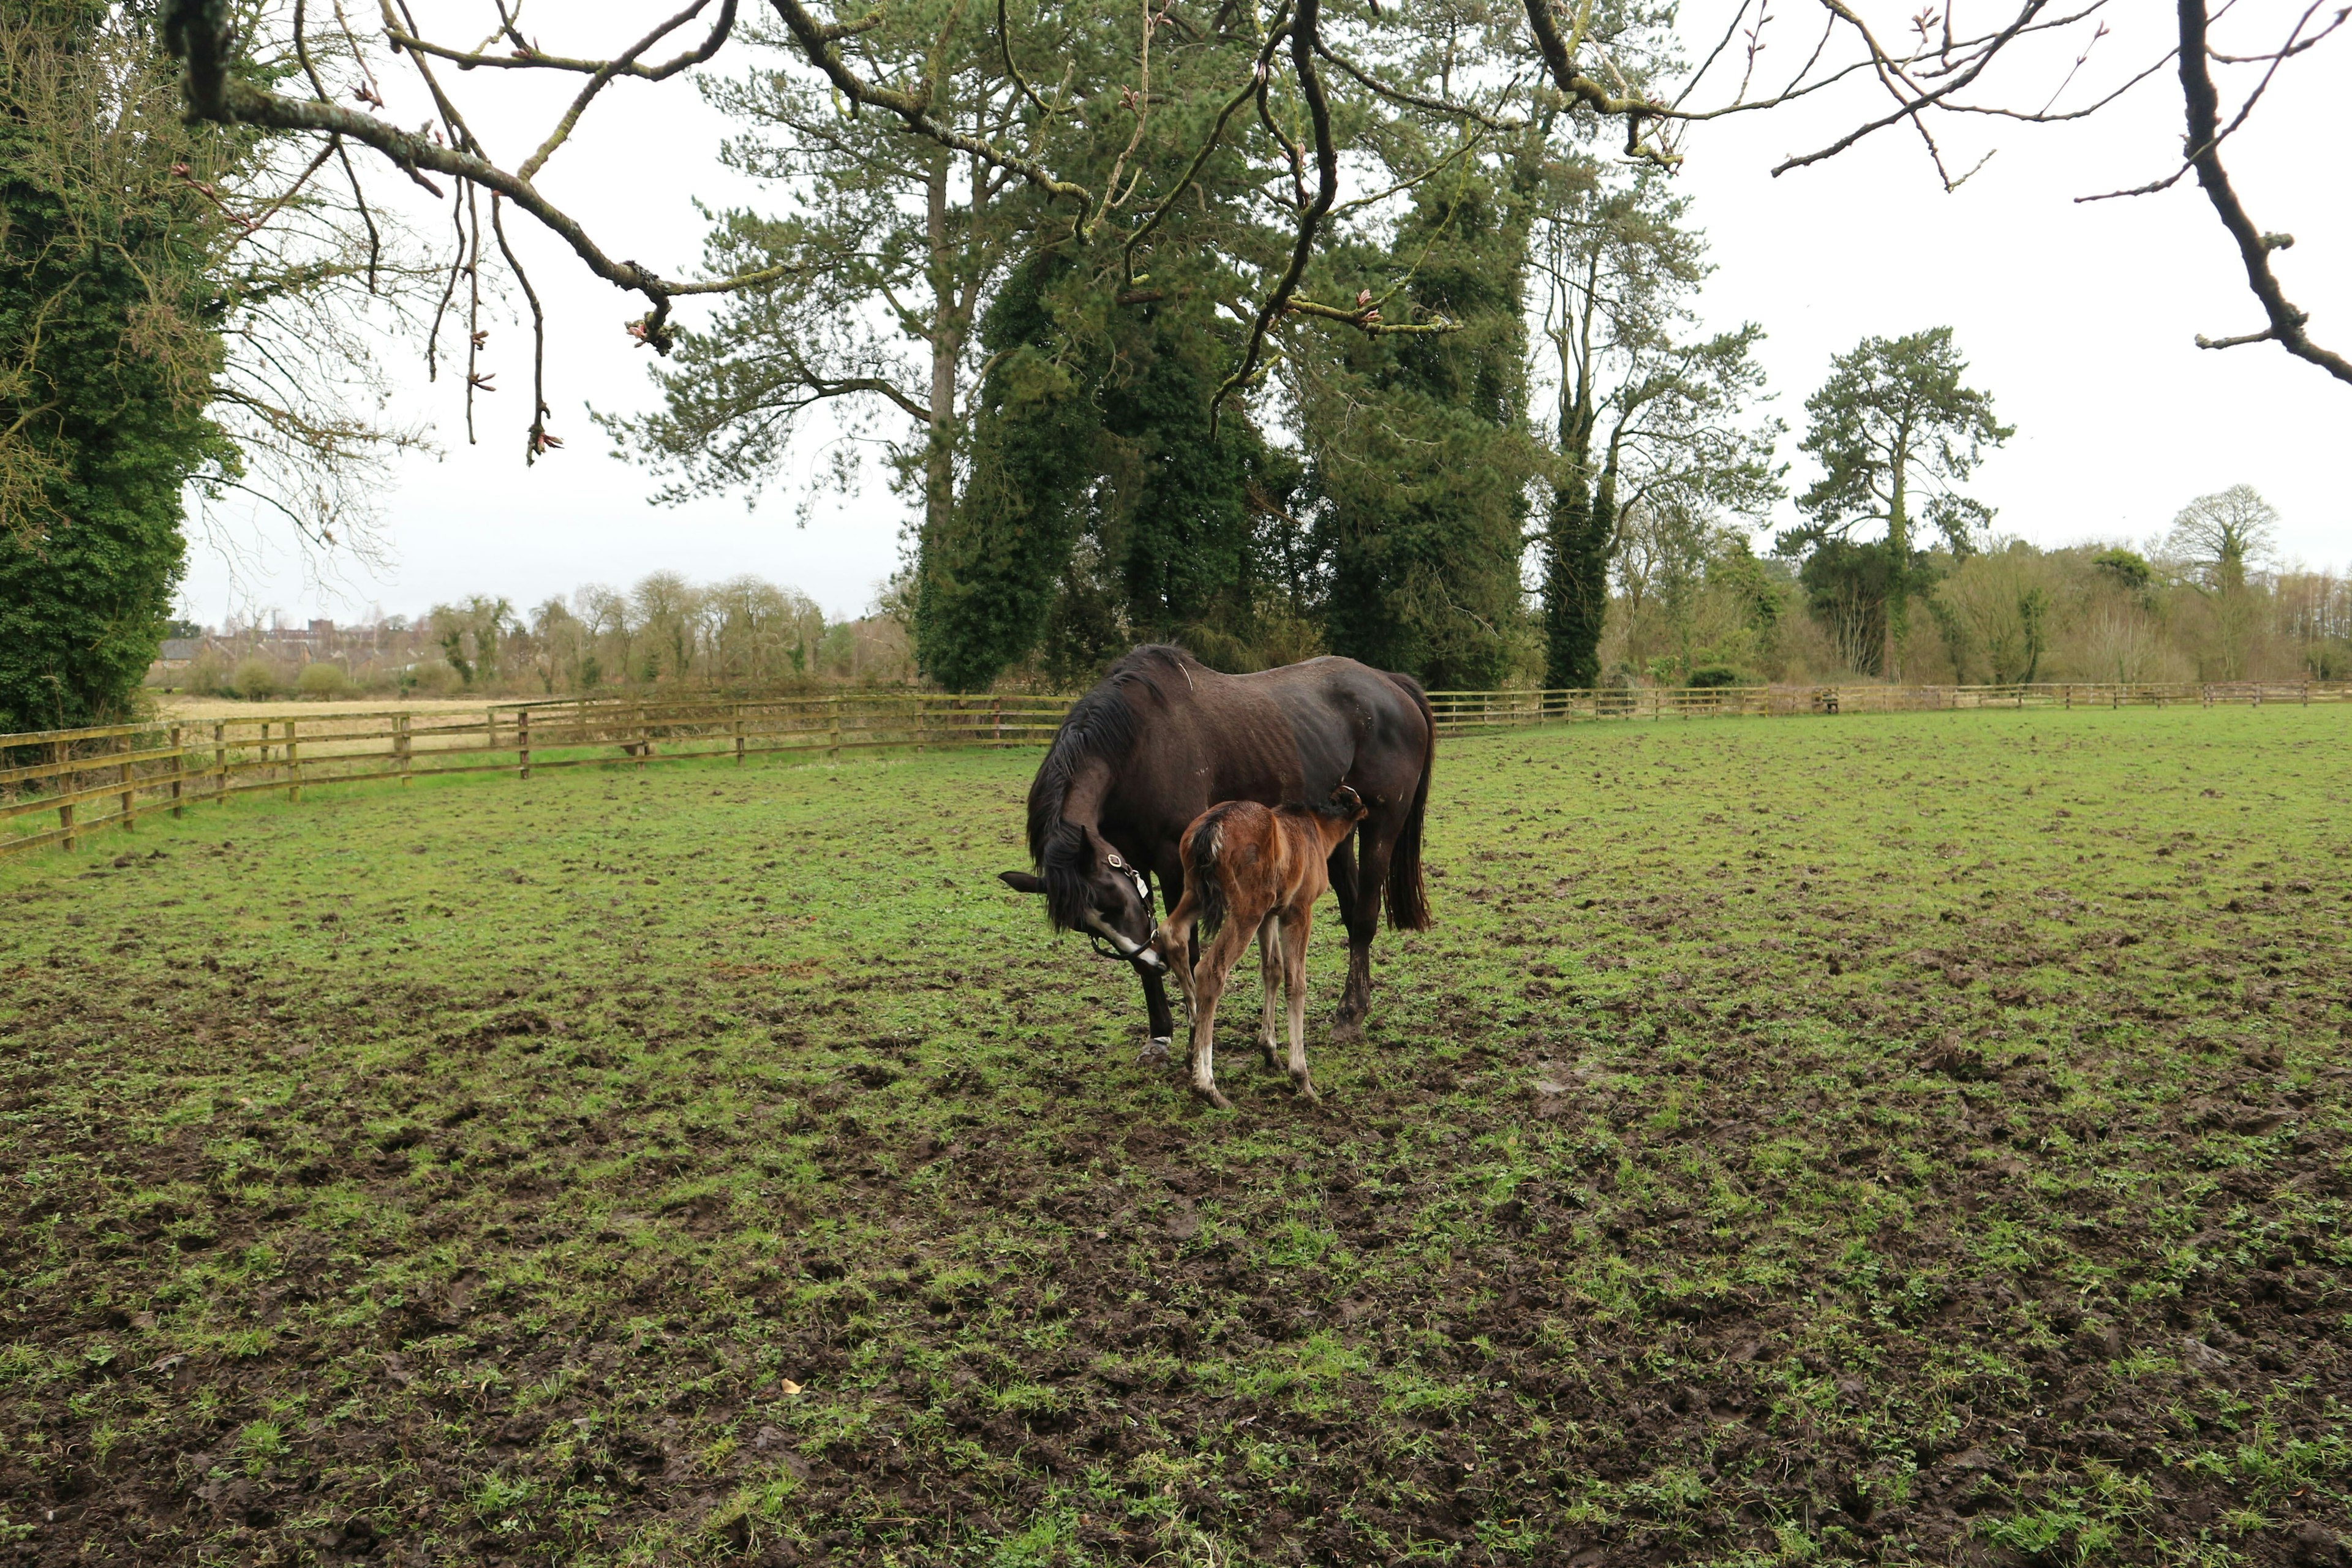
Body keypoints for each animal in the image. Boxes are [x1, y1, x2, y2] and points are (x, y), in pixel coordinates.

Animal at [1147, 790, 1373, 1109]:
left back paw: (1192, 1046)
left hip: (1197, 893)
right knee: (1210, 970)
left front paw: (1270, 1051)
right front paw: (1301, 1078)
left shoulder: (1270, 914)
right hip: (1247, 910)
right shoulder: (1297, 911)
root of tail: (1211, 828)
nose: (1366, 815)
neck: (1315, 827)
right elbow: (1296, 983)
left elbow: (1273, 970)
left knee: (1171, 934)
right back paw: (1208, 1086)